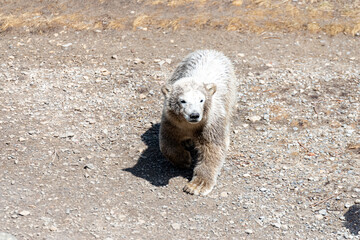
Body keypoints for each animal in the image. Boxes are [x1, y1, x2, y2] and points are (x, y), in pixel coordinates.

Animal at [160, 49, 236, 196]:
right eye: (182, 100)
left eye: (201, 100)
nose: (194, 115)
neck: (191, 125)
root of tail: (211, 50)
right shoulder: (171, 121)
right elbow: (167, 142)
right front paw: (184, 159)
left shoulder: (210, 124)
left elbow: (212, 149)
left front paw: (197, 186)